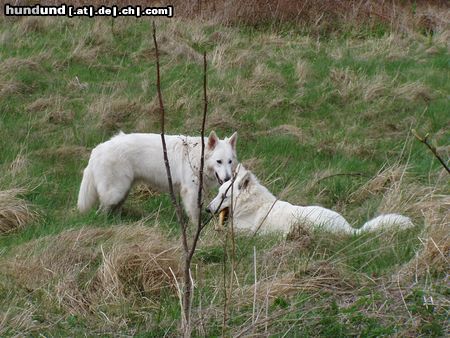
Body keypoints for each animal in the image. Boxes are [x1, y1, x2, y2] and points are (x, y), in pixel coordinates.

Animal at [77, 129, 239, 222]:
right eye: (219, 161)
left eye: (230, 161)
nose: (227, 179)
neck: (197, 157)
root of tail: (99, 148)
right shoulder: (190, 191)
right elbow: (194, 214)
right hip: (115, 192)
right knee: (101, 212)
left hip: (123, 191)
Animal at [206, 164, 414, 234]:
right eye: (218, 192)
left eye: (224, 195)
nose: (207, 209)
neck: (253, 205)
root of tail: (350, 230)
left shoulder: (244, 230)